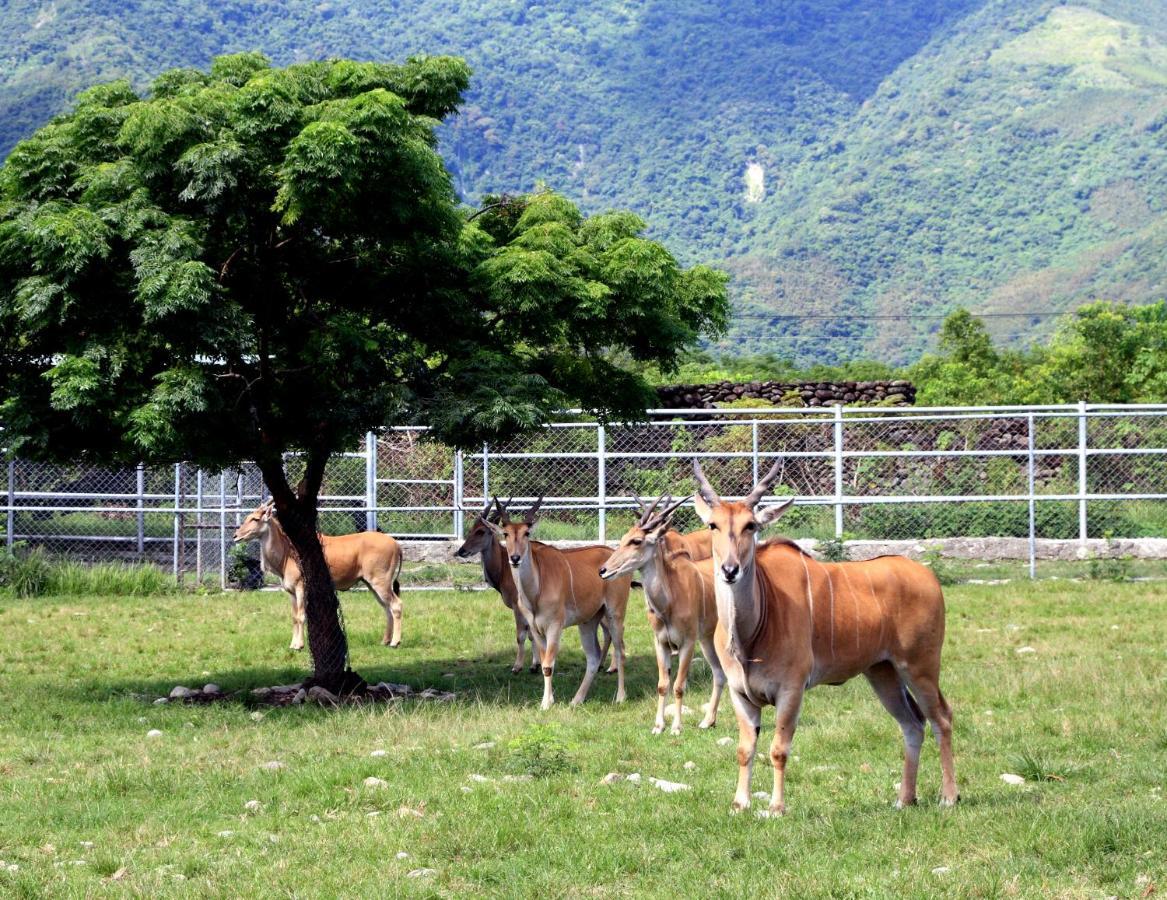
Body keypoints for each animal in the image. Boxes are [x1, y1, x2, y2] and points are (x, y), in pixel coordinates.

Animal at [232, 504, 406, 649]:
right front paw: (292, 644)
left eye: (255, 519)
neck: (287, 552)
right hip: (372, 584)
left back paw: (395, 642)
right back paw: (385, 640)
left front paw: (299, 645)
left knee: (396, 605)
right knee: (387, 607)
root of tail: (395, 544)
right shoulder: (291, 592)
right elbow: (294, 617)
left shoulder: (301, 588)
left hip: (380, 582)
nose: (235, 536)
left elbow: (301, 616)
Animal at [483, 497, 630, 709]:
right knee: (593, 657)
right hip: (588, 621)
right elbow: (545, 662)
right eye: (505, 534)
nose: (515, 558)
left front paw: (545, 704)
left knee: (620, 651)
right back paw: (577, 699)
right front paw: (549, 699)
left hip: (615, 613)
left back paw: (620, 697)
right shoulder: (536, 629)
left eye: (527, 533)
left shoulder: (555, 626)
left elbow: (548, 664)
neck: (535, 592)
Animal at [597, 497, 723, 737]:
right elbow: (663, 684)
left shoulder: (687, 642)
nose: (603, 570)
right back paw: (708, 721)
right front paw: (658, 726)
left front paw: (676, 727)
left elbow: (679, 686)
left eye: (636, 541)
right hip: (707, 639)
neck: (669, 601)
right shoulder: (661, 642)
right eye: (623, 538)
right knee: (720, 674)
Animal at [690, 462, 956, 821]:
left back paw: (949, 797)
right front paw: (739, 803)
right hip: (882, 673)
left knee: (942, 718)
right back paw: (905, 799)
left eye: (750, 526)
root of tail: (929, 577)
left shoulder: (791, 689)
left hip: (920, 667)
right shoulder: (739, 692)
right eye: (712, 525)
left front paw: (776, 807)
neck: (752, 633)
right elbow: (745, 749)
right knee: (913, 724)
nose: (729, 569)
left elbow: (778, 749)